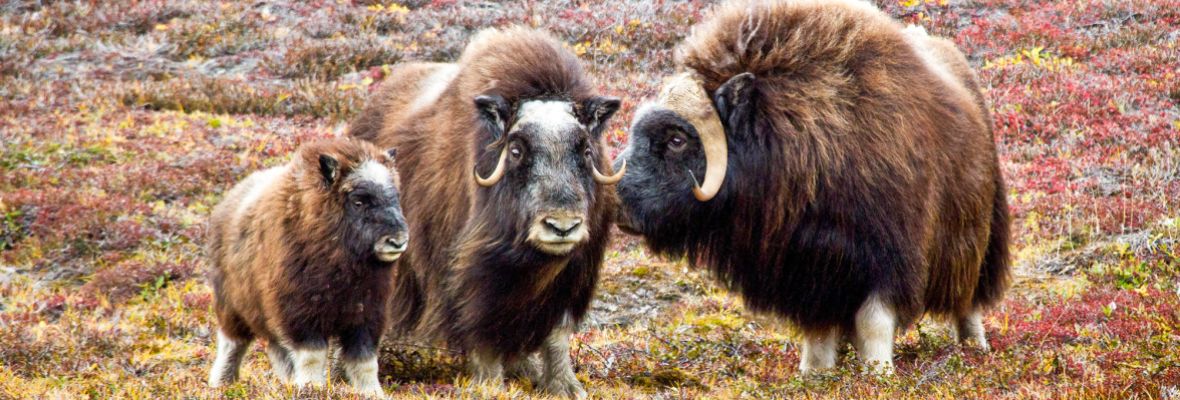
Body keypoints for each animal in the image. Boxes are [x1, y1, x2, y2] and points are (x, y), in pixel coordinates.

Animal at [210, 138, 412, 398]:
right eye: (358, 201)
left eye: (395, 197)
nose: (398, 241)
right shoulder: (300, 313)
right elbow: (312, 356)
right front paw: (311, 388)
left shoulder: (367, 316)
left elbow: (365, 361)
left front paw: (372, 393)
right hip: (233, 307)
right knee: (232, 343)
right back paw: (222, 384)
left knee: (276, 349)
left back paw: (286, 382)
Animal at [346, 27, 627, 398]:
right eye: (517, 150)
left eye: (585, 149)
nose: (562, 226)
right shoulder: (469, 274)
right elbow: (479, 326)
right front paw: (491, 385)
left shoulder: (572, 278)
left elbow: (557, 334)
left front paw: (565, 387)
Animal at [613, 0, 1010, 375]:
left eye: (677, 139)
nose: (616, 203)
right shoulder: (806, 265)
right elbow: (817, 327)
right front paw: (814, 373)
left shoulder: (888, 254)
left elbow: (875, 320)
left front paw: (879, 373)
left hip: (977, 239)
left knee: (969, 299)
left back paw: (973, 348)